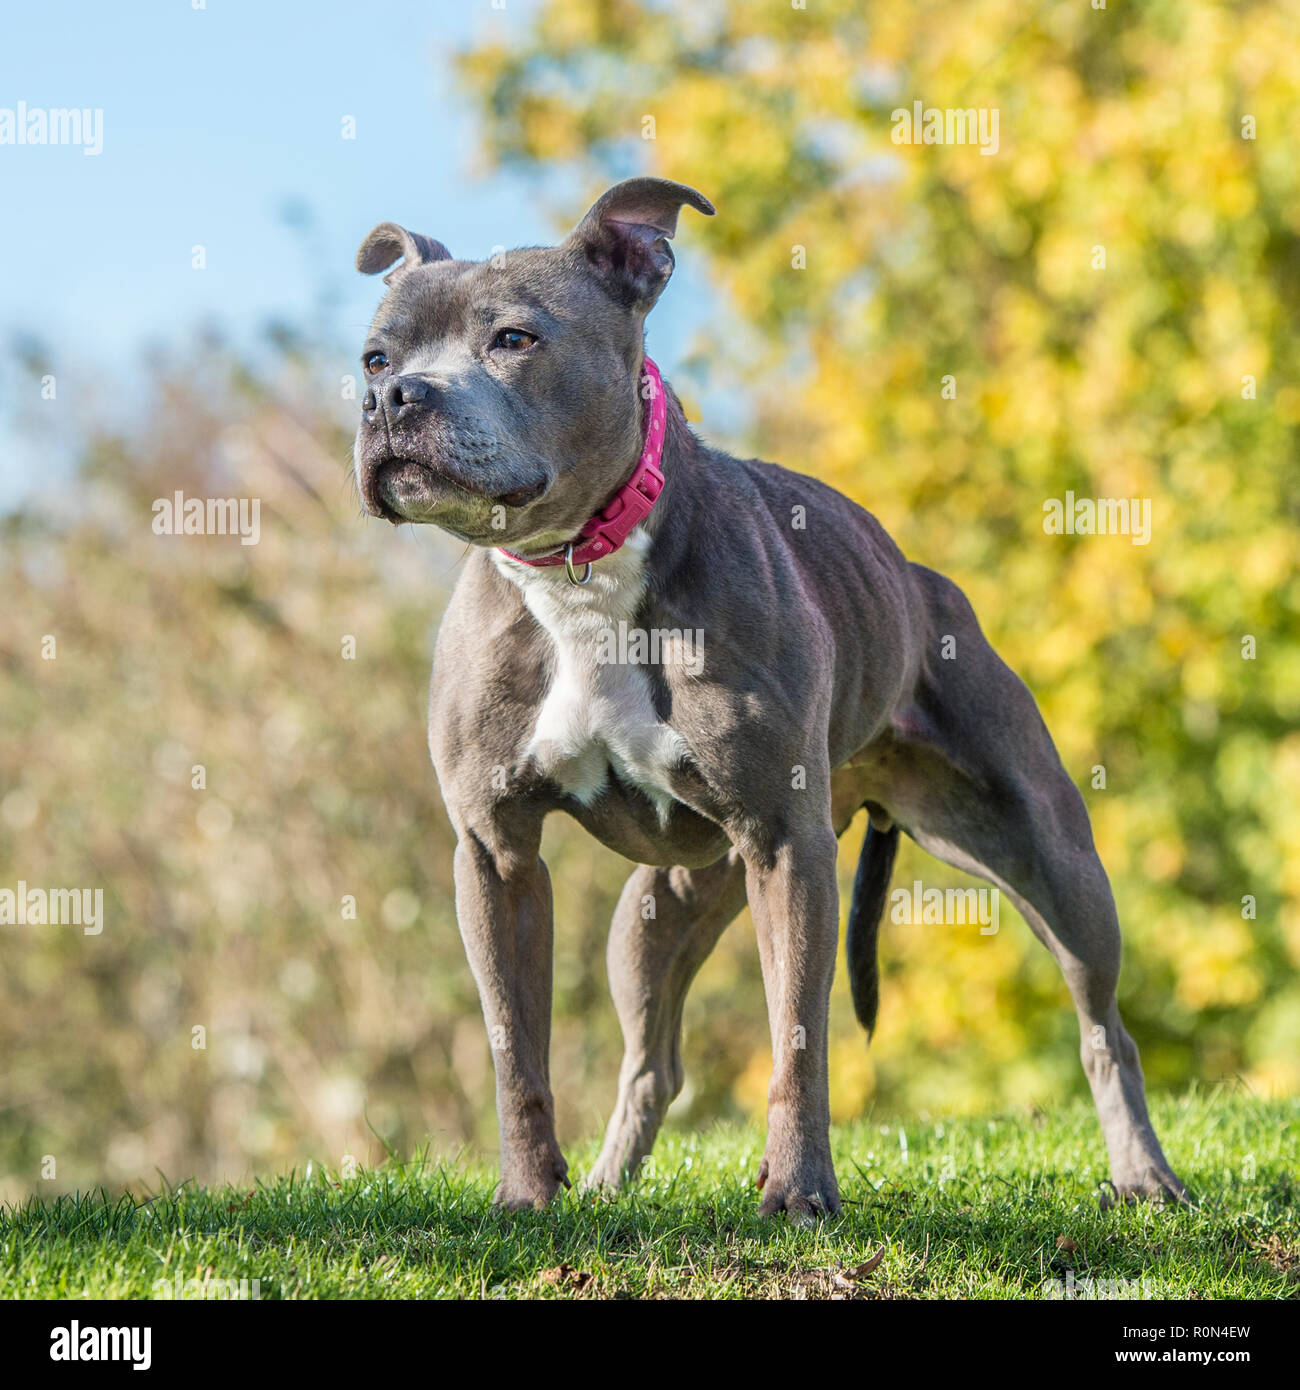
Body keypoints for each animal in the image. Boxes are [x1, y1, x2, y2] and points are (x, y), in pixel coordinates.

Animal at [353, 176, 1190, 1217]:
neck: (578, 571)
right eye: (375, 355)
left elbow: (797, 1037)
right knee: (652, 1062)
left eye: (513, 338)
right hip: (657, 913)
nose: (391, 397)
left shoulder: (787, 848)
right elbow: (517, 1051)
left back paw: (1146, 1174)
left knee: (1104, 1028)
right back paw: (605, 1185)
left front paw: (798, 1192)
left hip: (1052, 865)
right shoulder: (495, 853)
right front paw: (526, 1198)